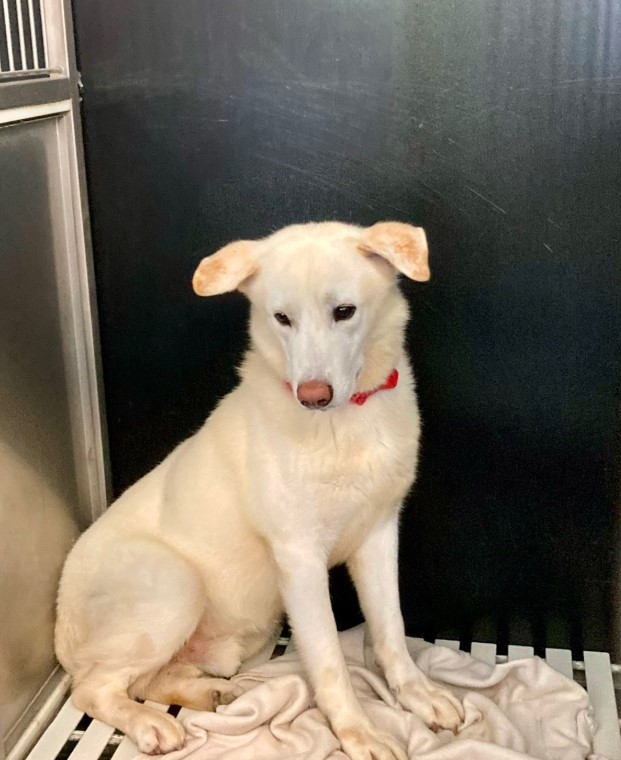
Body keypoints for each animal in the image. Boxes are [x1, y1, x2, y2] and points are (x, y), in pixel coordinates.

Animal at [55, 221, 462, 760]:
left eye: (344, 311)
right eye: (282, 318)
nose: (313, 396)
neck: (346, 423)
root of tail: (60, 626)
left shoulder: (378, 536)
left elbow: (391, 630)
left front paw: (419, 695)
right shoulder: (300, 559)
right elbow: (330, 661)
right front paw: (359, 733)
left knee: (144, 679)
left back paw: (210, 693)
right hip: (175, 586)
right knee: (93, 687)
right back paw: (148, 724)